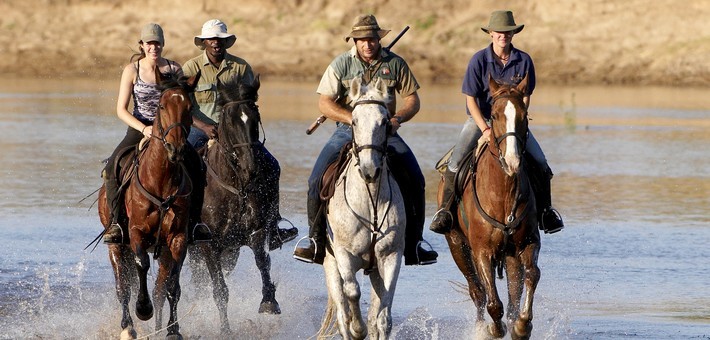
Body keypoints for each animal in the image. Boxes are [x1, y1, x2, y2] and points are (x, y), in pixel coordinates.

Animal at [97, 70, 200, 338]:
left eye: (189, 107)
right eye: (162, 106)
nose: (175, 148)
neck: (161, 178)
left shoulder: (177, 237)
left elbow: (173, 284)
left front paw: (173, 330)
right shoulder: (136, 232)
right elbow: (141, 264)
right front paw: (143, 309)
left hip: (162, 249)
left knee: (159, 288)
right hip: (116, 245)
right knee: (122, 286)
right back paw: (128, 328)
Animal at [189, 73, 284, 334]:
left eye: (255, 116)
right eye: (229, 120)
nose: (250, 168)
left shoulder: (256, 232)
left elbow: (263, 262)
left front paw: (269, 302)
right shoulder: (208, 245)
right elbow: (220, 289)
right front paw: (225, 330)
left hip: (230, 253)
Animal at [322, 78, 406, 338]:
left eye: (385, 121)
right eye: (354, 121)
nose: (370, 171)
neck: (370, 205)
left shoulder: (391, 256)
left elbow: (383, 316)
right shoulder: (343, 254)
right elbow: (352, 292)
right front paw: (358, 329)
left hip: (375, 270)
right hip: (330, 264)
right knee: (342, 312)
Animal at [436, 75, 544, 340]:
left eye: (524, 114)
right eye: (494, 115)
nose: (513, 161)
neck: (503, 194)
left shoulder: (527, 243)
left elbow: (531, 275)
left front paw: (522, 326)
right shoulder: (481, 251)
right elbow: (493, 302)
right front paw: (494, 329)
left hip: (510, 255)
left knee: (513, 294)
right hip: (457, 246)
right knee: (478, 292)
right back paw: (480, 327)